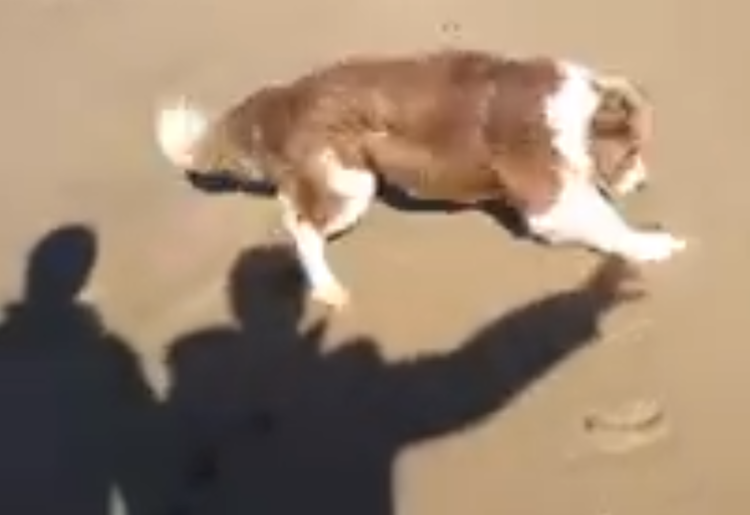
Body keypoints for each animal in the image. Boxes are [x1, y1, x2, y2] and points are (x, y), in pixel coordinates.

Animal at [157, 49, 688, 310]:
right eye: (633, 150)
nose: (643, 184)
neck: (576, 115)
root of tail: (287, 94)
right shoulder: (547, 201)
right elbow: (607, 224)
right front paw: (654, 245)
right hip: (351, 182)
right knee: (302, 226)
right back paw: (327, 288)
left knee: (292, 209)